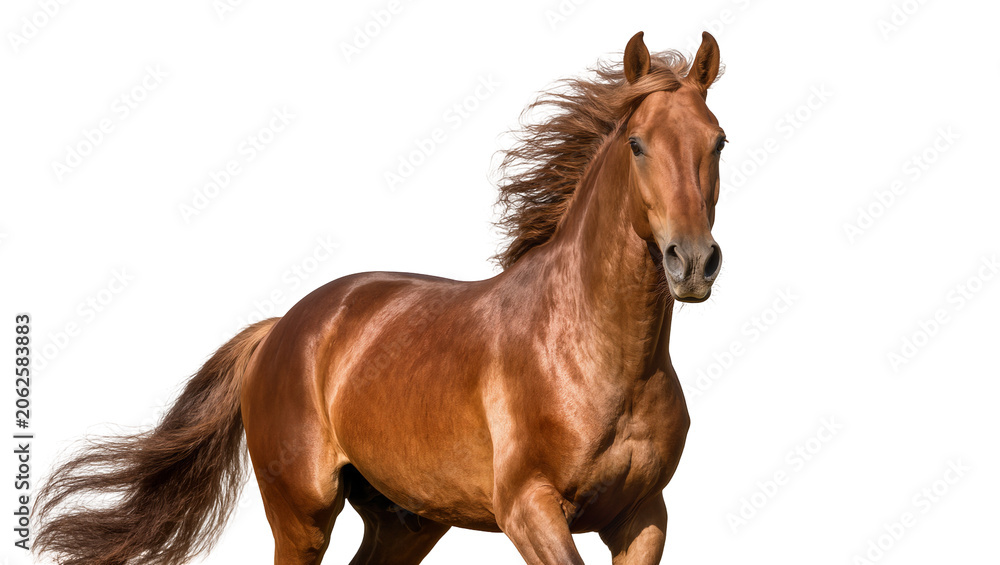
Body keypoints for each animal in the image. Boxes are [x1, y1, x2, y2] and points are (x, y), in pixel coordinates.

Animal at [34, 31, 726, 565]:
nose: (693, 262)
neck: (597, 357)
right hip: (302, 516)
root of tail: (283, 327)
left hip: (407, 520)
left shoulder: (643, 515)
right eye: (637, 144)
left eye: (717, 140)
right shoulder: (530, 507)